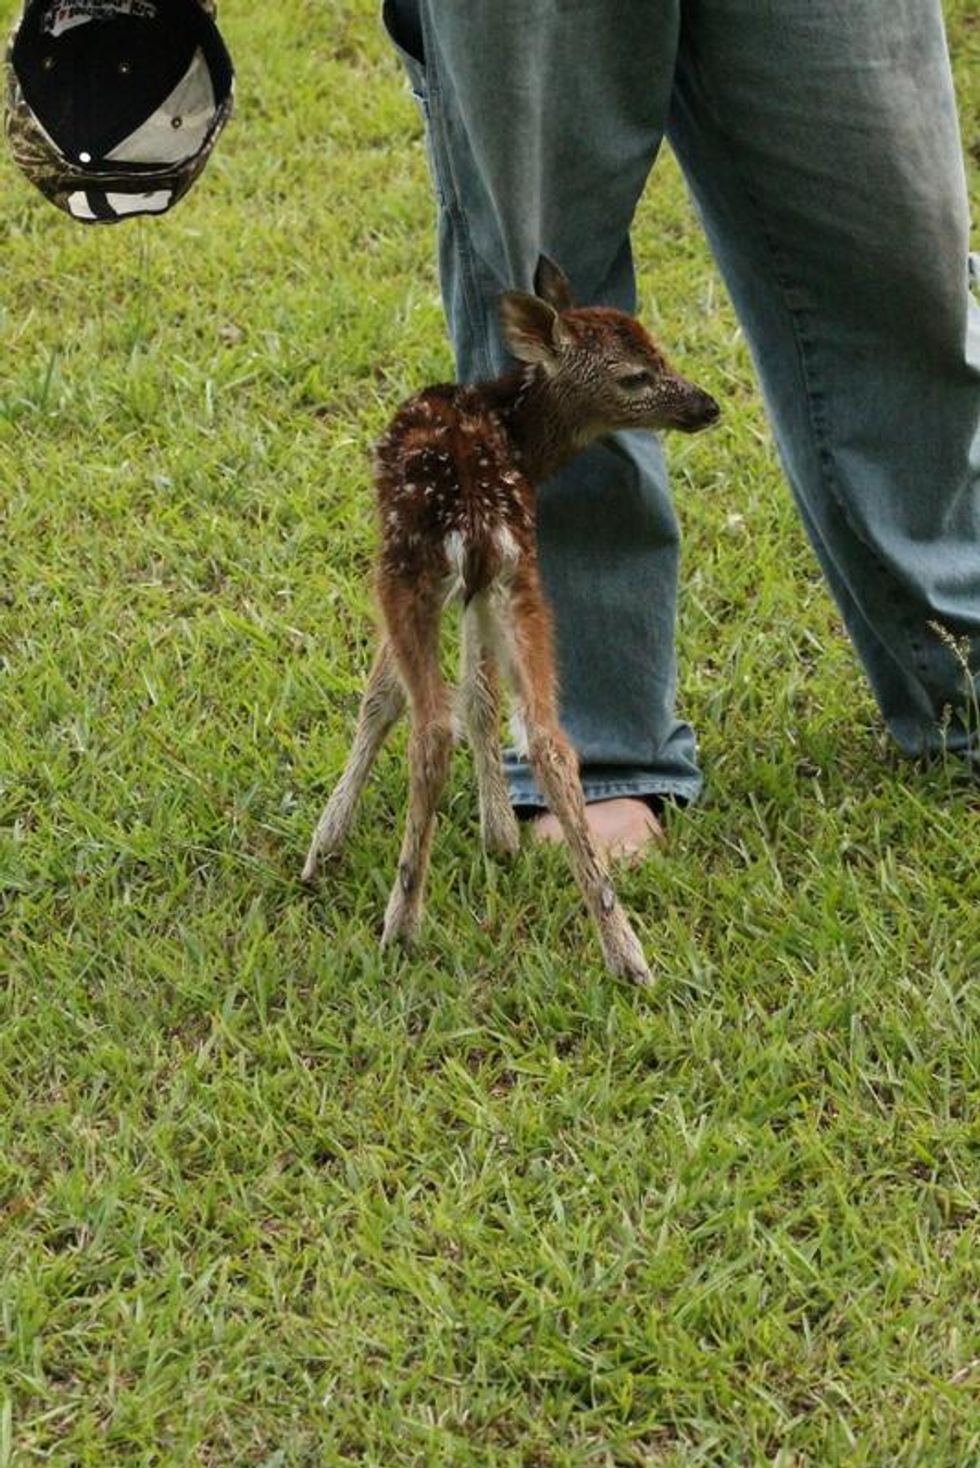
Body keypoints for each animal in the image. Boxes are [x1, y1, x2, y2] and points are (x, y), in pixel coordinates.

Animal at [301, 257, 719, 986]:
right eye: (636, 373)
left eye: (658, 359)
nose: (706, 404)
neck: (517, 436)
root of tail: (475, 501)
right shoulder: (485, 580)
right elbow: (482, 697)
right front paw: (499, 835)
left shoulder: (421, 569)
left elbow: (382, 698)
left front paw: (324, 847)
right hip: (520, 577)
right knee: (550, 740)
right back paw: (625, 951)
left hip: (406, 564)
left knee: (430, 729)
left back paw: (399, 923)